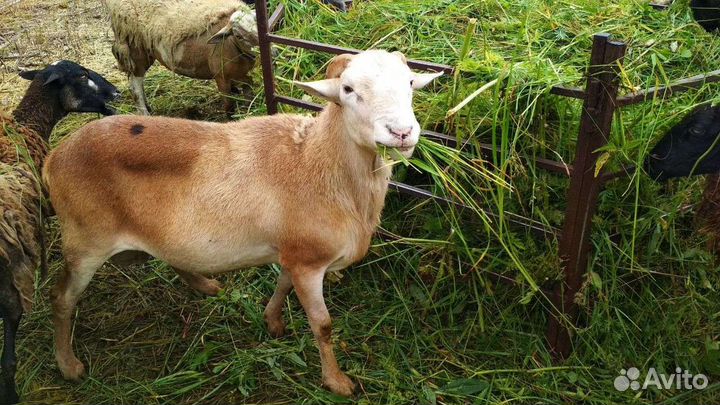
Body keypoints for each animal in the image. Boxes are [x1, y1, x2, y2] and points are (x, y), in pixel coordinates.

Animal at [42, 49, 442, 397]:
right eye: (347, 89)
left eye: (409, 82)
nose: (402, 132)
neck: (317, 161)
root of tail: (54, 157)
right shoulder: (309, 260)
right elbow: (323, 325)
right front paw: (337, 382)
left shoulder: (292, 252)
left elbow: (282, 284)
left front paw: (273, 321)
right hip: (84, 242)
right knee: (61, 299)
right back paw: (68, 365)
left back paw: (205, 285)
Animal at [105, 0, 259, 116]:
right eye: (238, 35)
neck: (232, 45)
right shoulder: (221, 78)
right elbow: (229, 107)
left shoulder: (244, 77)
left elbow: (249, 98)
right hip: (135, 48)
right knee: (135, 85)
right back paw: (145, 113)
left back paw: (148, 108)